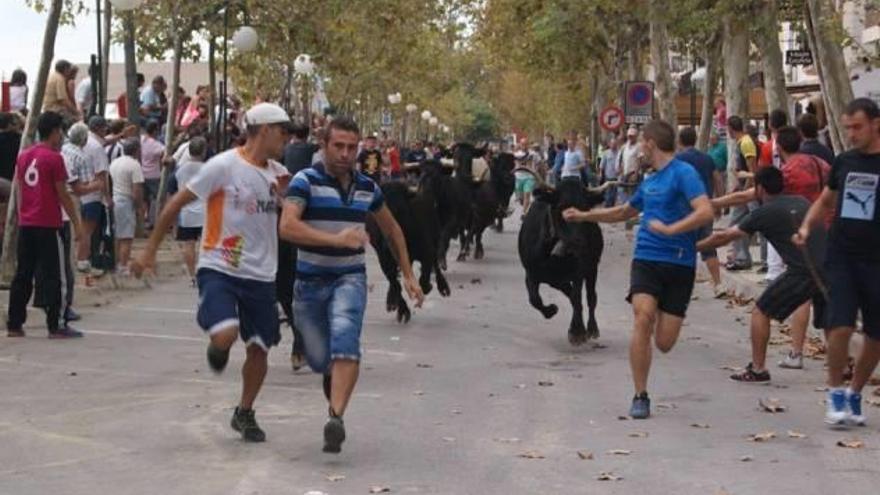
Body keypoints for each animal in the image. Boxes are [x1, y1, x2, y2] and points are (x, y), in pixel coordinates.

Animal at [516, 180, 604, 346]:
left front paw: (577, 332)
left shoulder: (579, 271)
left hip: (593, 267)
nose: (579, 242)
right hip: (560, 280)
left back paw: (592, 328)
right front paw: (552, 310)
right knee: (571, 294)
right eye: (561, 208)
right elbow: (534, 299)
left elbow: (577, 298)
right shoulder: (530, 273)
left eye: (585, 209)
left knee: (590, 297)